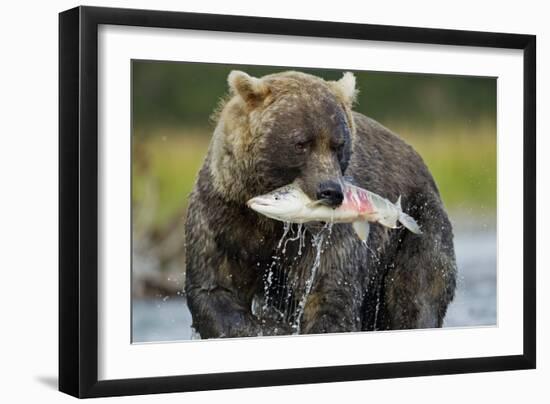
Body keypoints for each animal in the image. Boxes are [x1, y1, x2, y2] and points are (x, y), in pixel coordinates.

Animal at [185, 70, 458, 338]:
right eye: (301, 143)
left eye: (339, 144)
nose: (331, 191)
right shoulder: (223, 215)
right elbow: (216, 290)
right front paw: (275, 327)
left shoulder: (327, 235)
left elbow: (330, 293)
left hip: (418, 224)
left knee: (416, 292)